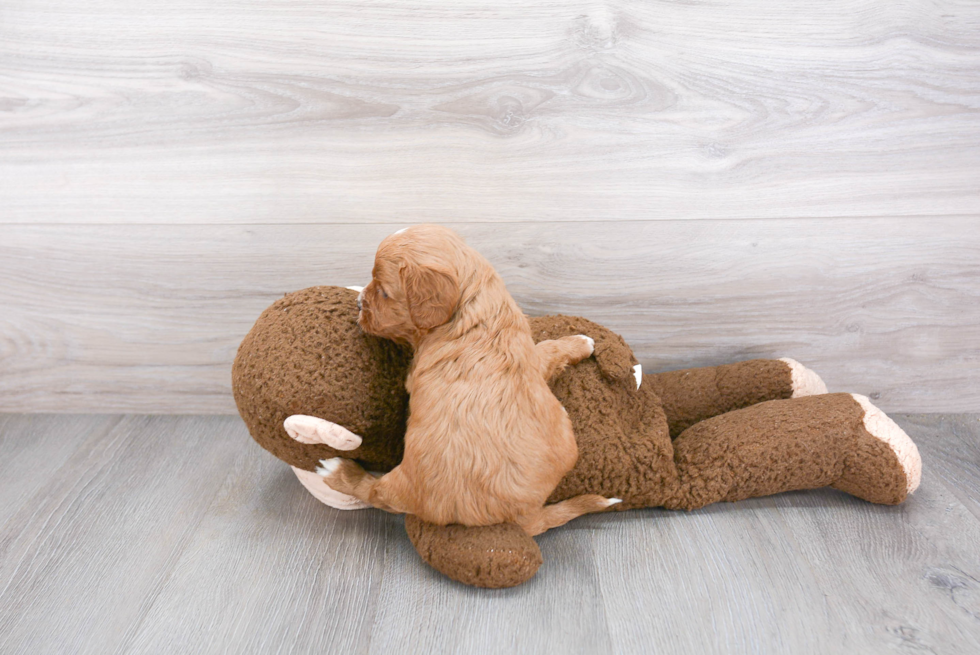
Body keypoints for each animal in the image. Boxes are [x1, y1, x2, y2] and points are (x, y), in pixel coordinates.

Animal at [316, 226, 620, 540]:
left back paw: (339, 471)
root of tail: (526, 514)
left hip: (409, 482)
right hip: (565, 433)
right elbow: (545, 349)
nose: (358, 303)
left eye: (384, 291)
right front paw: (580, 342)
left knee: (377, 493)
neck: (473, 311)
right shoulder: (530, 358)